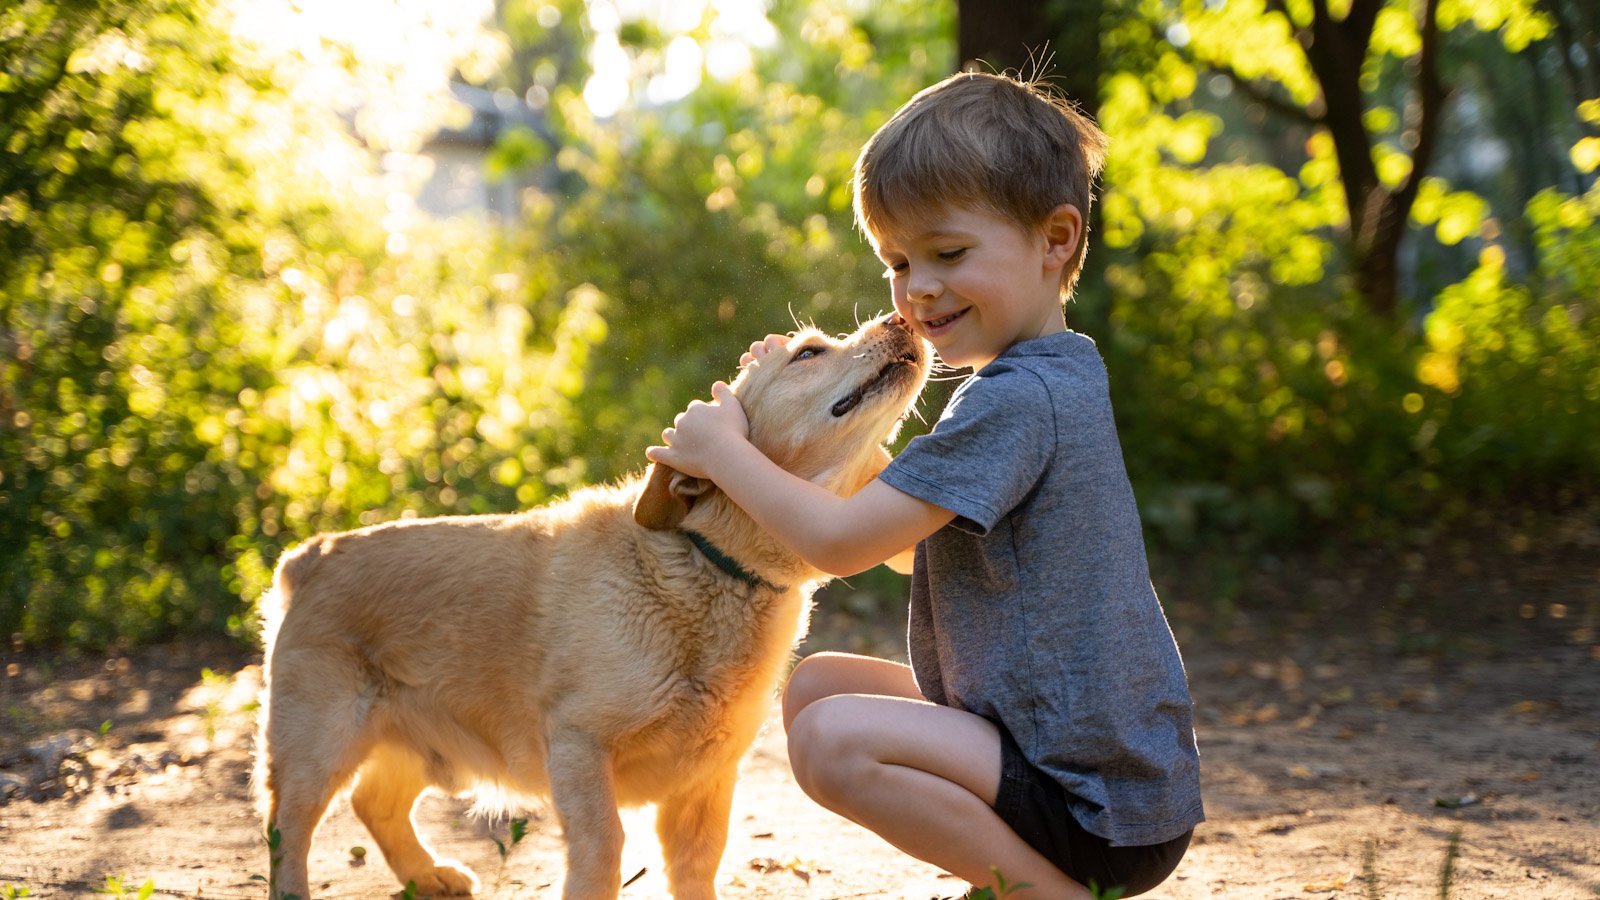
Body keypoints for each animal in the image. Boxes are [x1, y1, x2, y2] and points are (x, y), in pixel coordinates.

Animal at [254, 310, 934, 896]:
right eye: (809, 353)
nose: (902, 317)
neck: (709, 568)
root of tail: (312, 553)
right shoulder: (579, 748)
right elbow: (605, 849)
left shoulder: (707, 778)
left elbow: (698, 865)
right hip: (317, 748)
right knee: (287, 833)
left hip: (421, 745)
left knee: (375, 804)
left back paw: (429, 875)